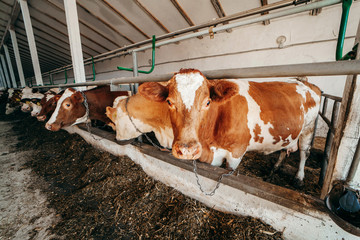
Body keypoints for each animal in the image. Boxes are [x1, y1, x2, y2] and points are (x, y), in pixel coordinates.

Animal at [137, 68, 320, 187]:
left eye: (207, 102)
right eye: (169, 102)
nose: (187, 150)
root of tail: (304, 81)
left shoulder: (235, 153)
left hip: (308, 129)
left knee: (304, 152)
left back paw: (299, 178)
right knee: (284, 149)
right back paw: (273, 171)